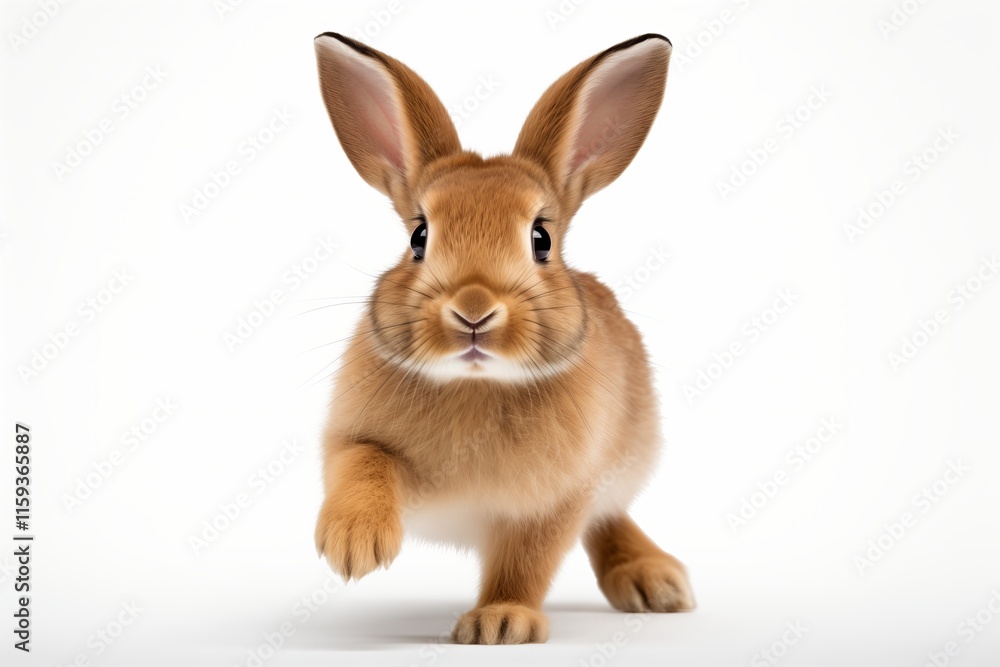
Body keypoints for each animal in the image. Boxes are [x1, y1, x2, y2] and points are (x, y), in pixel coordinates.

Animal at [312, 31, 693, 645]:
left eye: (541, 239)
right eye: (419, 237)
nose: (473, 310)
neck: (475, 382)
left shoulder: (555, 500)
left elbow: (527, 562)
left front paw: (500, 622)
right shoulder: (352, 440)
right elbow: (363, 463)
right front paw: (353, 544)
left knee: (609, 519)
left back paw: (654, 581)